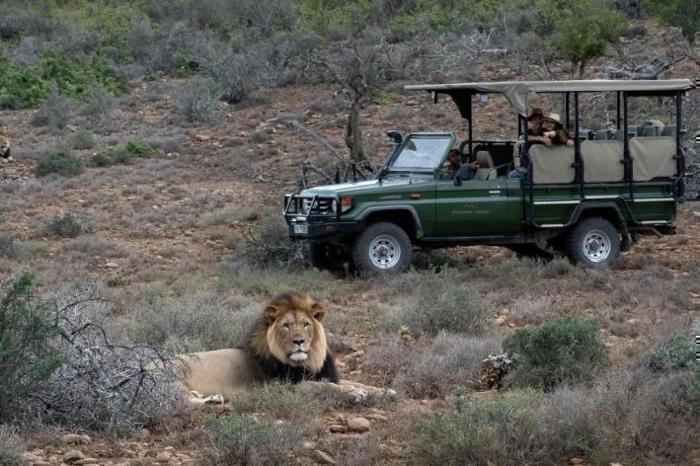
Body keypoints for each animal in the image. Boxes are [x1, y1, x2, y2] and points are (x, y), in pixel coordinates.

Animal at [175, 292, 394, 404]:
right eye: (286, 326)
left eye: (306, 325)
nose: (299, 341)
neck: (307, 361)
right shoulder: (288, 387)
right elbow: (322, 386)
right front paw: (352, 393)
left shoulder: (326, 375)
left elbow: (357, 382)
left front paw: (383, 391)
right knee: (184, 402)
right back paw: (212, 400)